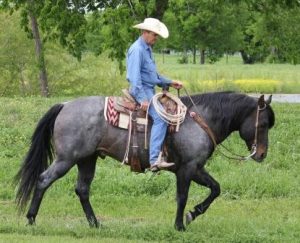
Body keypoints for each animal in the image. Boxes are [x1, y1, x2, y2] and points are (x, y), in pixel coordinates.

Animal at [15, 91, 276, 230]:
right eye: (263, 124)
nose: (262, 154)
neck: (200, 120)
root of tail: (65, 105)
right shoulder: (187, 169)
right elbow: (182, 197)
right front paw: (180, 225)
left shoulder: (196, 168)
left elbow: (215, 189)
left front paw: (193, 214)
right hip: (66, 159)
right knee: (43, 180)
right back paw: (31, 219)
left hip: (87, 160)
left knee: (82, 189)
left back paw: (95, 223)